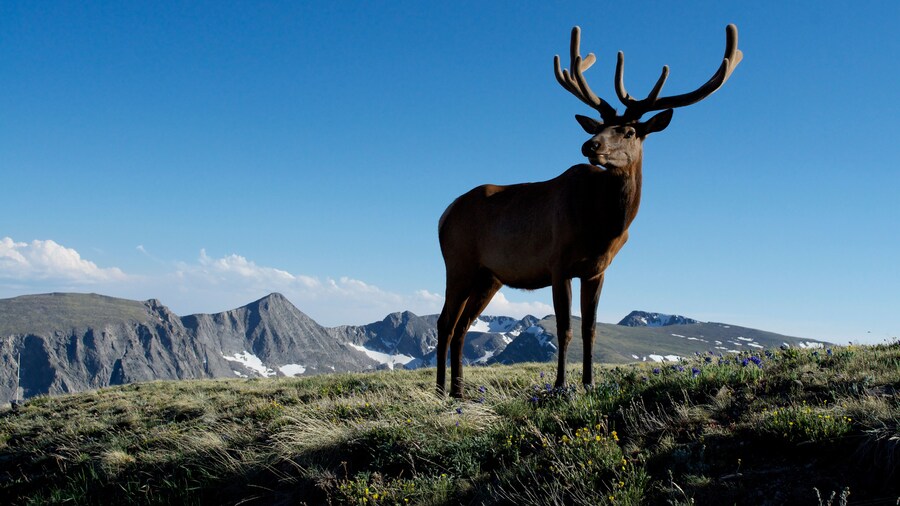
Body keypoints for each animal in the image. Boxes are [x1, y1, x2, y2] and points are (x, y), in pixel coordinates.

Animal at [435, 25, 742, 398]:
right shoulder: (558, 263)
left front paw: (590, 383)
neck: (604, 226)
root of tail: (444, 215)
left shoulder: (597, 270)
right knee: (446, 322)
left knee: (462, 325)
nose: (589, 144)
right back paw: (440, 390)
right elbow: (565, 329)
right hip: (459, 263)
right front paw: (559, 386)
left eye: (630, 130)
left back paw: (458, 390)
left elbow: (590, 329)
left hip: (489, 276)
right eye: (598, 127)